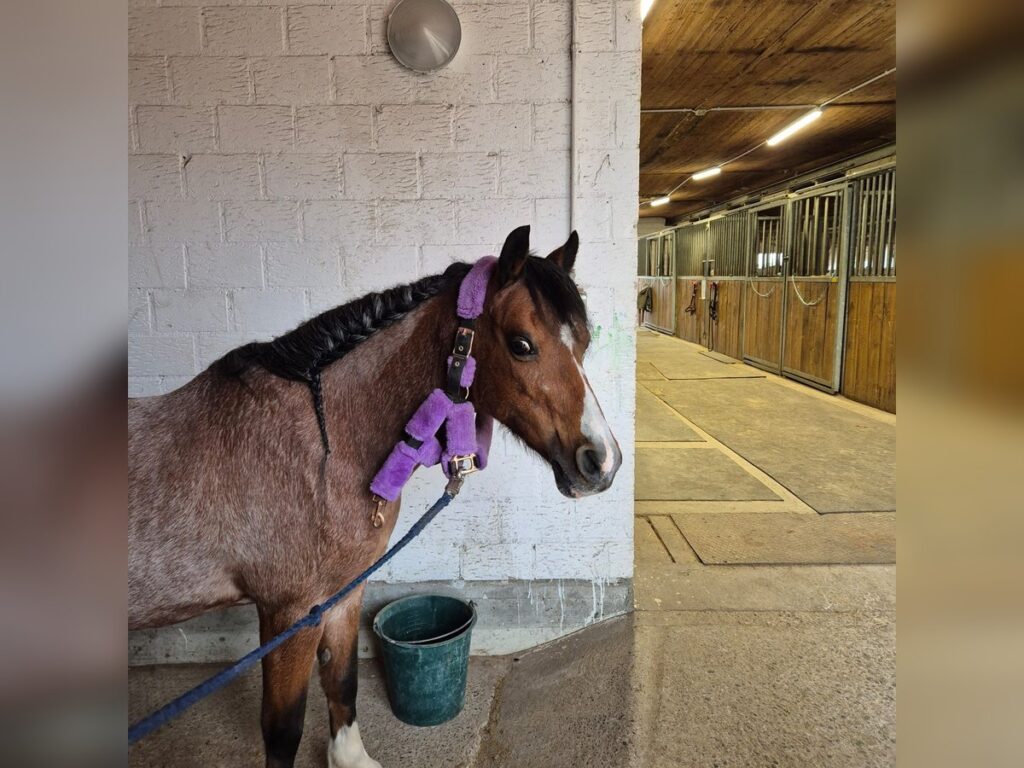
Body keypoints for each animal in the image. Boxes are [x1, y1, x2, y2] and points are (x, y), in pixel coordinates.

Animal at [129, 225, 622, 768]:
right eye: (521, 344)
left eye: (583, 340)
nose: (602, 462)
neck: (322, 449)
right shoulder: (289, 612)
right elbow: (283, 729)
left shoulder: (342, 595)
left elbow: (343, 681)